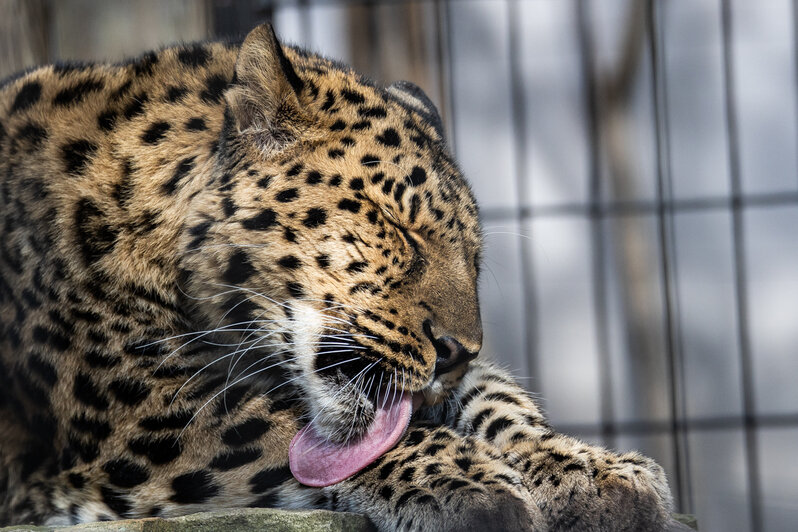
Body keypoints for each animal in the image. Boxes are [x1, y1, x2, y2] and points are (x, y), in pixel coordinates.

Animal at [0, 22, 688, 528]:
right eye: (399, 229)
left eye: (473, 258)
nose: (458, 349)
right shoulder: (144, 411)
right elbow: (286, 431)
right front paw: (470, 483)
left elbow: (493, 394)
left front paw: (588, 469)